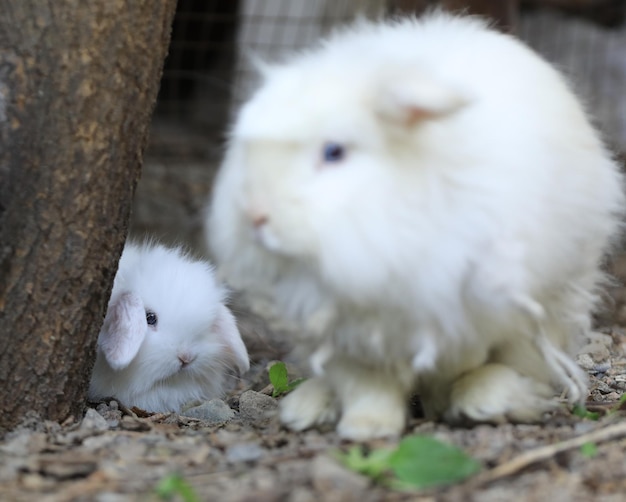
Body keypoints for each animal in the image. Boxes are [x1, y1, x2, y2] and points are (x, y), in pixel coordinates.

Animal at [206, 11, 624, 440]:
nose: (254, 215)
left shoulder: (460, 318)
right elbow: (368, 387)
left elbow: (457, 372)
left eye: (334, 152)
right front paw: (367, 429)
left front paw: (454, 407)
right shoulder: (351, 334)